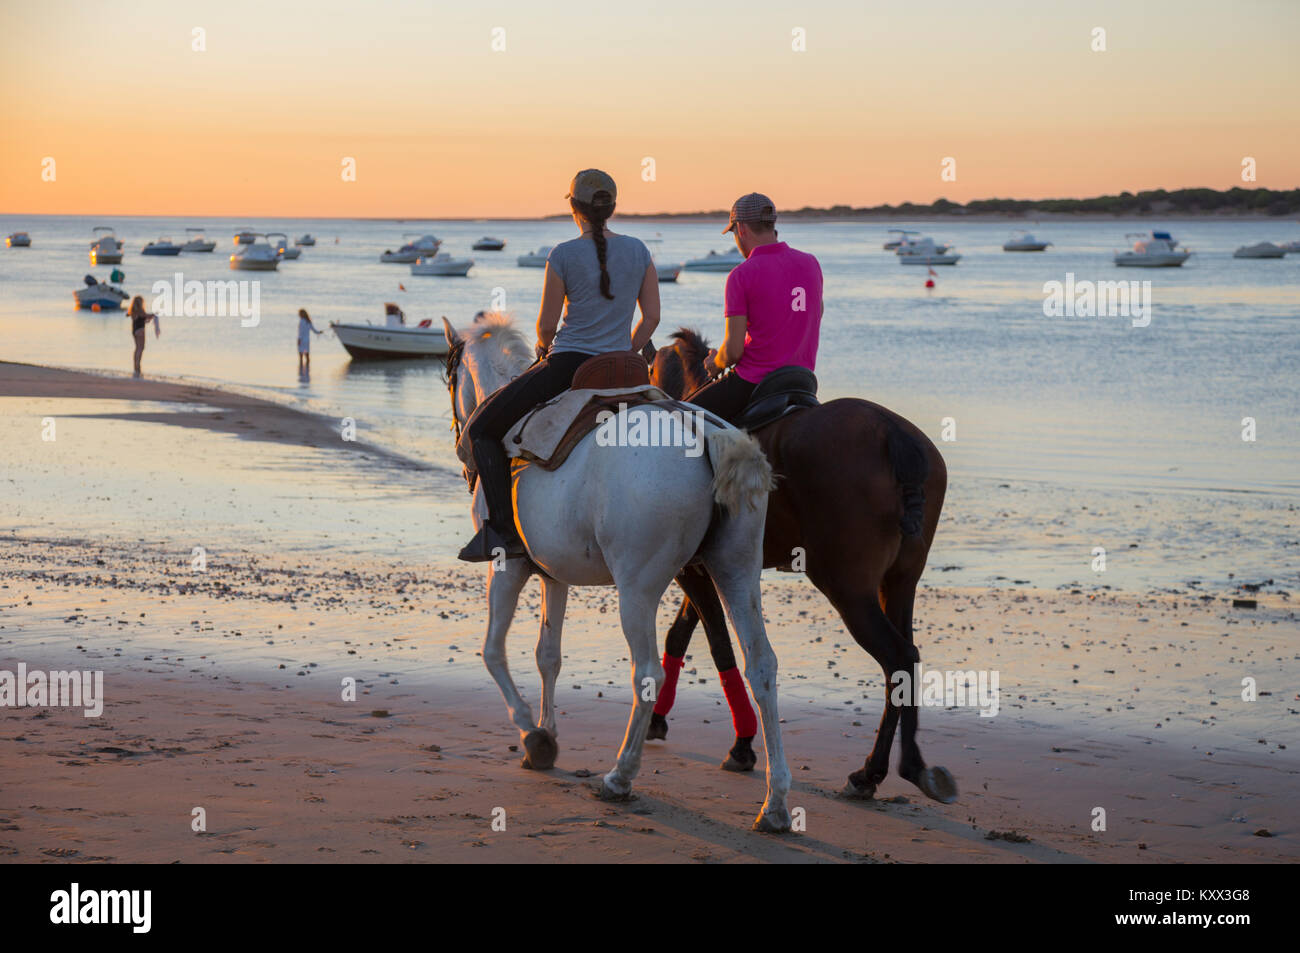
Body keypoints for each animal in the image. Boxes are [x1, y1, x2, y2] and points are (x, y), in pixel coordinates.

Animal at [444, 314, 790, 832]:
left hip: (638, 590)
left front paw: (532, 734)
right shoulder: (554, 574)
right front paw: (546, 730)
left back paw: (620, 776)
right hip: (737, 569)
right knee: (762, 665)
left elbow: (493, 651)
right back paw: (776, 803)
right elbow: (548, 654)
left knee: (647, 673)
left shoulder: (509, 566)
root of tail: (702, 430)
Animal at [647, 328, 956, 800]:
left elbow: (716, 643)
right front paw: (663, 718)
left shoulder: (693, 569)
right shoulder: (711, 567)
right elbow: (681, 634)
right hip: (900, 582)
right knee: (908, 656)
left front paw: (740, 743)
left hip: (846, 586)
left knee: (898, 656)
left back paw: (874, 771)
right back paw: (906, 765)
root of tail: (891, 433)